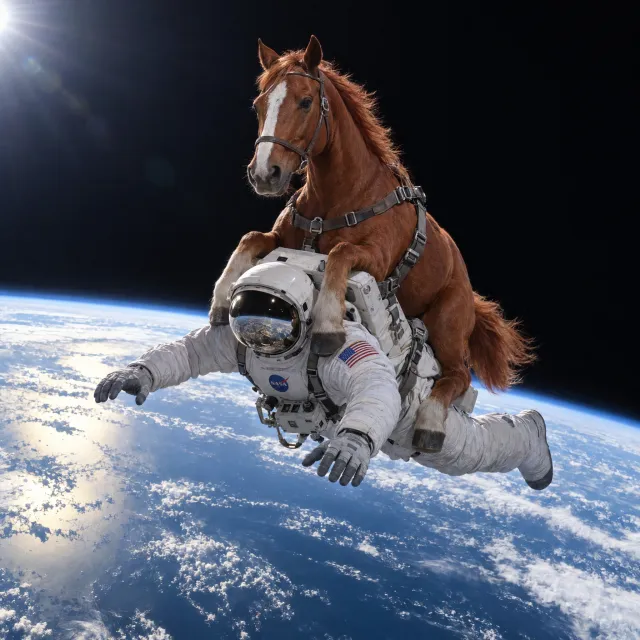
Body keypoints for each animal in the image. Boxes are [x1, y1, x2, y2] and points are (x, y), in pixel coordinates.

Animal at [209, 35, 535, 453]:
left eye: (305, 101)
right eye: (259, 104)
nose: (265, 173)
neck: (341, 196)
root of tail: (470, 296)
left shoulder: (376, 261)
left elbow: (340, 253)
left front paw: (328, 326)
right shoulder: (281, 238)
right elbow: (250, 237)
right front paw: (221, 301)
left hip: (446, 326)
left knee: (458, 376)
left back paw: (430, 422)